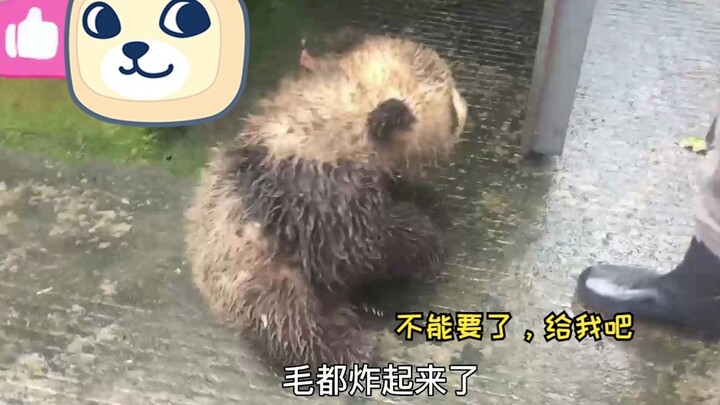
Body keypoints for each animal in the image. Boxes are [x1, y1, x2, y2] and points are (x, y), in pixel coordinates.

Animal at [184, 29, 468, 372]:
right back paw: (351, 346)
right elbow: (360, 245)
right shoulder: (314, 191)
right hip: (257, 272)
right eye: (450, 109)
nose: (466, 110)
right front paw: (427, 241)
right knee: (290, 321)